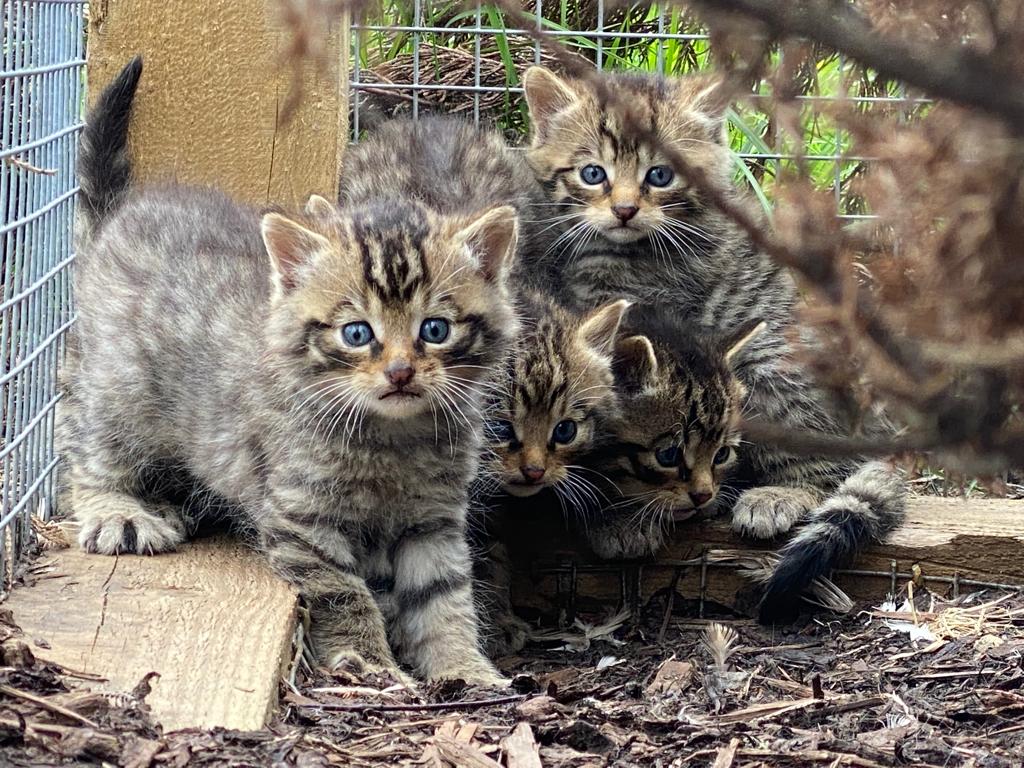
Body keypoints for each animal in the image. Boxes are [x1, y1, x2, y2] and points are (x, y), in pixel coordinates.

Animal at [524, 63, 909, 622]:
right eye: (593, 173)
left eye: (660, 175)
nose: (624, 210)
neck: (622, 254)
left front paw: (616, 511)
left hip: (773, 369)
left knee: (832, 465)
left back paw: (776, 496)